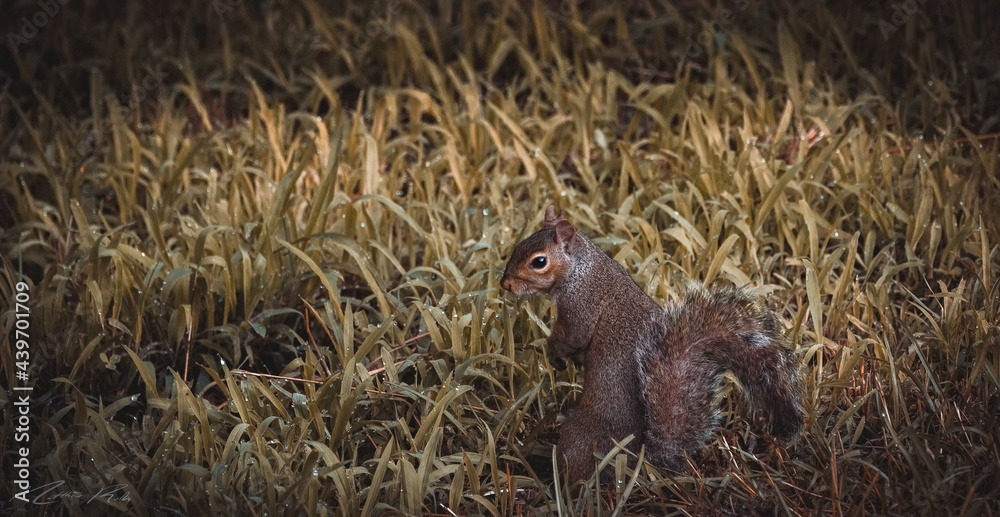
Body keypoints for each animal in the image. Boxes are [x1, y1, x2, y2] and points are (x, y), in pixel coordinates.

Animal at [501, 206, 804, 484]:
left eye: (539, 261)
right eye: (518, 245)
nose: (505, 284)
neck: (581, 270)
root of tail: (639, 457)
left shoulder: (580, 306)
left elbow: (572, 336)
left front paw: (552, 351)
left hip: (579, 438)